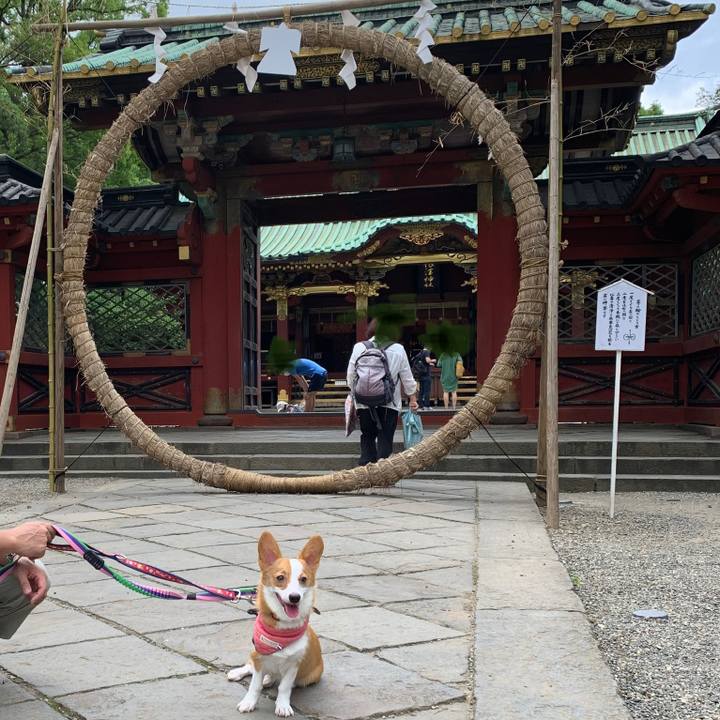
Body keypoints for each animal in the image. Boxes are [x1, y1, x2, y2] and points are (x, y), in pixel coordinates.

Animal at [228, 531, 324, 716]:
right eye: (280, 578)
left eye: (303, 579)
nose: (295, 597)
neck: (282, 629)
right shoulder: (259, 658)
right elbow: (254, 685)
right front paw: (248, 702)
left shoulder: (294, 665)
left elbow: (284, 687)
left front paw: (283, 706)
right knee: (249, 667)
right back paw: (237, 673)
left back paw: (269, 679)